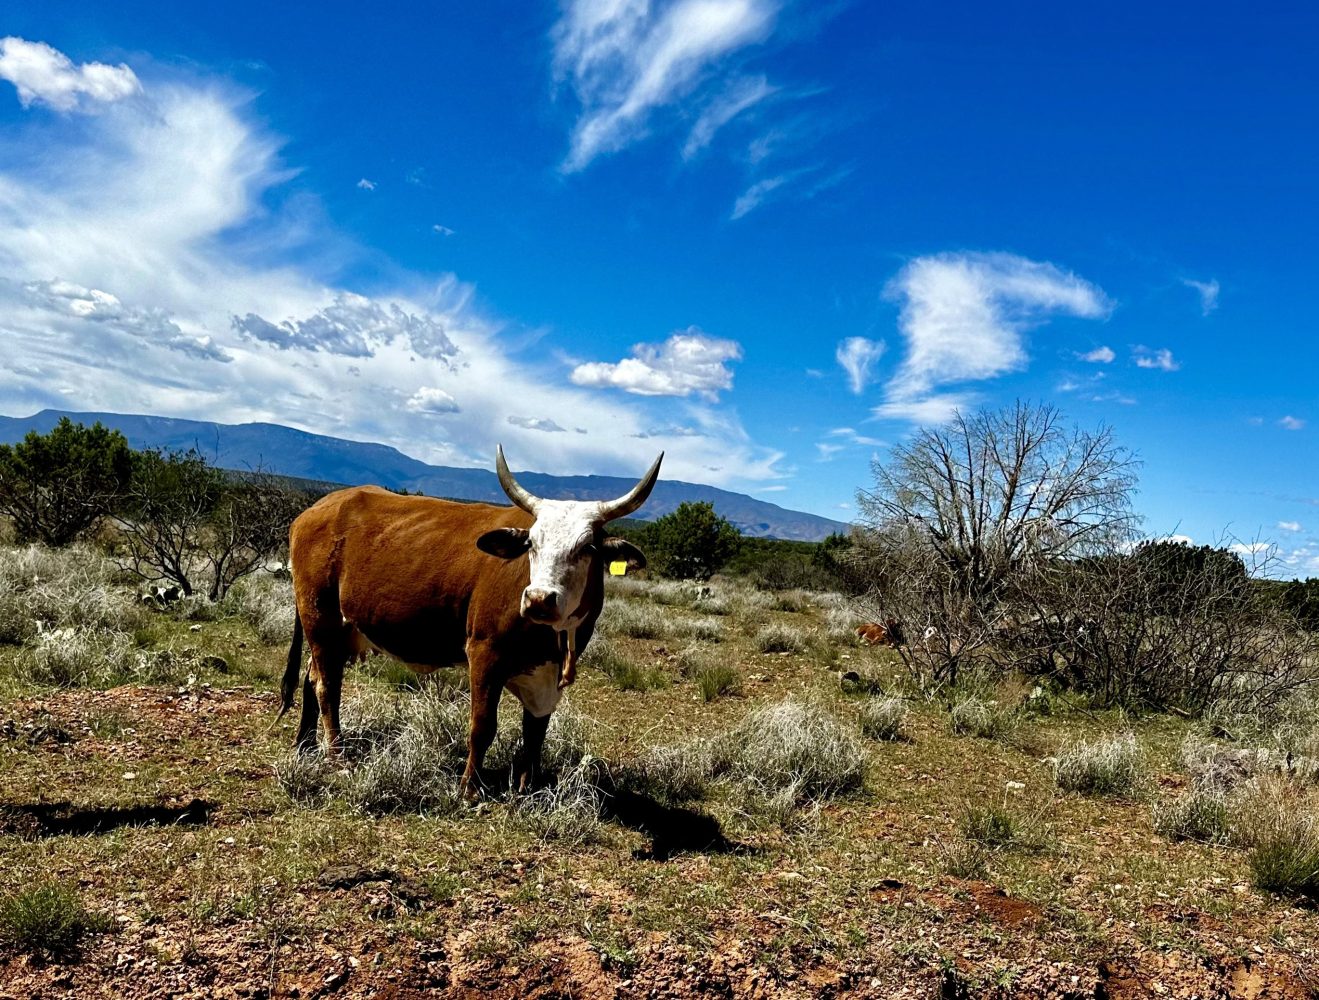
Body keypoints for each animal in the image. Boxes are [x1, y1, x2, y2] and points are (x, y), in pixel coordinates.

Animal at [278, 445, 659, 796]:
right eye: (531, 544)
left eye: (587, 548)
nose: (539, 599)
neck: (554, 640)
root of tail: (313, 511)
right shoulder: (485, 653)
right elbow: (482, 725)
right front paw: (469, 788)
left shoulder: (545, 676)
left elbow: (535, 732)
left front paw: (527, 787)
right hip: (320, 617)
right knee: (327, 686)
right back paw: (337, 756)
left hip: (339, 630)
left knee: (313, 677)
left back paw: (305, 745)